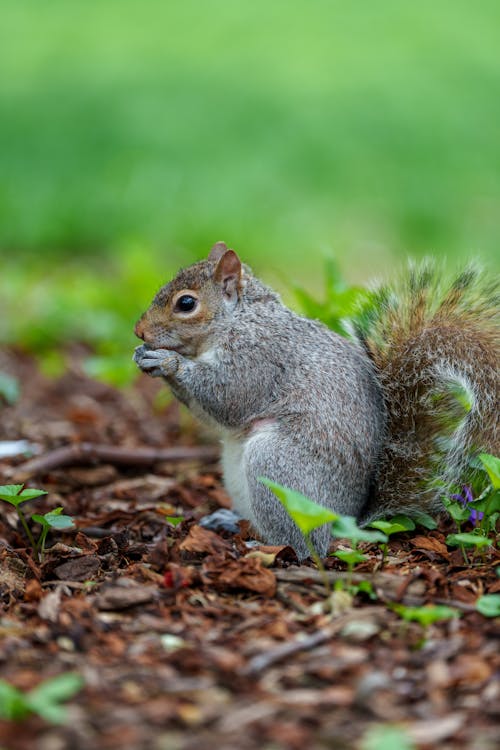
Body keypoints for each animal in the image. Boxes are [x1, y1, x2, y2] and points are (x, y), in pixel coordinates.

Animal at [134, 244, 500, 560]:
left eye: (186, 304)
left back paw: (261, 546)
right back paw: (229, 522)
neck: (240, 319)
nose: (139, 331)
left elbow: (229, 397)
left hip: (278, 470)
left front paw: (167, 361)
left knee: (307, 546)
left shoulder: (260, 355)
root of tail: (348, 521)